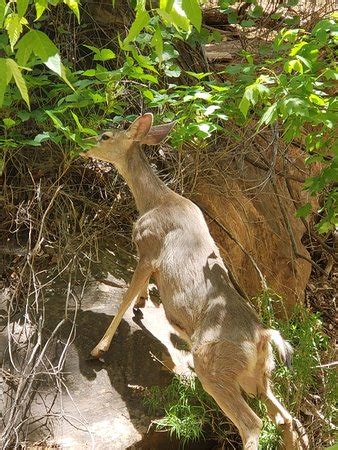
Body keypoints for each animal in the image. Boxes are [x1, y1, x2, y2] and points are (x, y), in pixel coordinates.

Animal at [81, 114, 306, 450]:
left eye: (105, 135)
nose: (81, 145)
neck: (154, 201)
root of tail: (262, 337)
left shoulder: (148, 248)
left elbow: (123, 298)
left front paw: (99, 348)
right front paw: (142, 303)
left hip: (214, 367)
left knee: (253, 425)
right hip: (259, 376)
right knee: (288, 419)